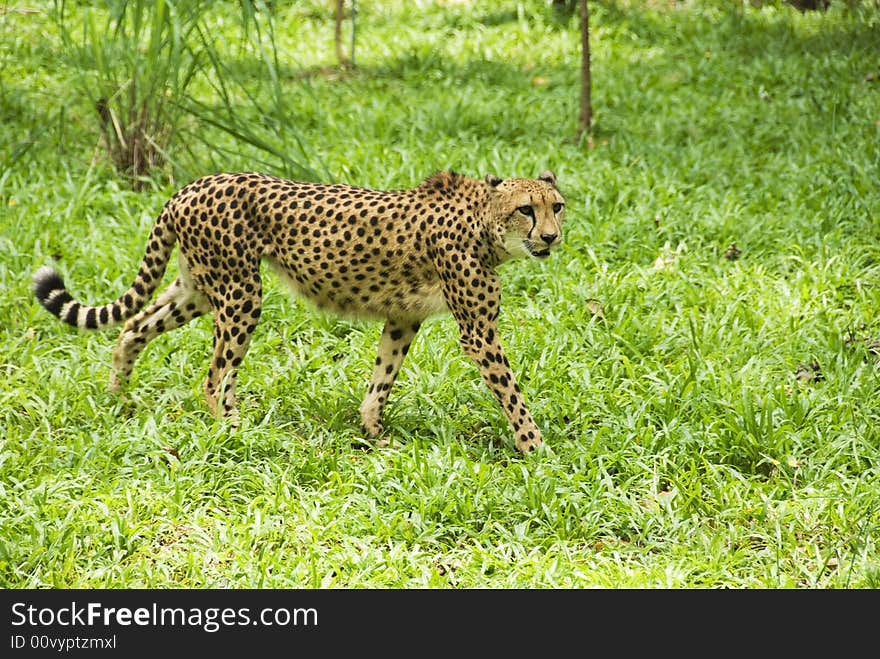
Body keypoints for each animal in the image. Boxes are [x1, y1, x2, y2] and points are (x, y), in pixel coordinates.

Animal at [31, 170, 568, 454]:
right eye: (526, 209)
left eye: (557, 206)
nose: (550, 237)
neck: (484, 223)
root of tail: (192, 184)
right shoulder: (478, 332)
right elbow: (512, 394)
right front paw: (535, 447)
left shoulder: (402, 318)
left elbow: (381, 378)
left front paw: (373, 434)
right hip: (241, 293)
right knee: (214, 374)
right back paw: (234, 434)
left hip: (200, 288)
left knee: (134, 325)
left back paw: (119, 396)